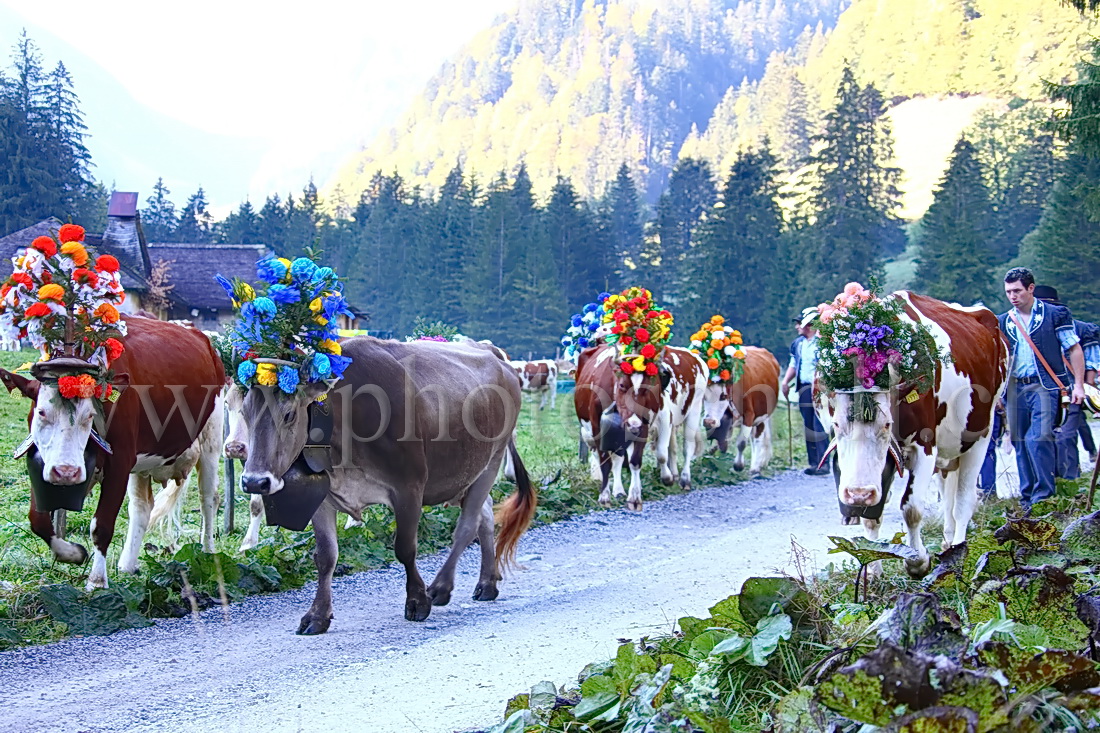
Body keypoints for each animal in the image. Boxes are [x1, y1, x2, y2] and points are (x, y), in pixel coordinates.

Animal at [0, 314, 223, 589]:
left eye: (89, 415)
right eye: (42, 412)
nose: (66, 472)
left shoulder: (120, 461)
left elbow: (102, 524)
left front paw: (97, 581)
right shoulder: (44, 463)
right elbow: (38, 519)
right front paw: (72, 553)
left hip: (211, 437)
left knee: (208, 498)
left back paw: (208, 555)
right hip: (144, 461)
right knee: (141, 507)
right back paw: (127, 564)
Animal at [236, 334, 536, 629]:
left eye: (289, 414)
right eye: (244, 413)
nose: (254, 482)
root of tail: (492, 353)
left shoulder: (409, 486)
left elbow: (405, 548)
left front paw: (417, 601)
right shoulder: (322, 497)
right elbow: (325, 556)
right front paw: (317, 615)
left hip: (491, 461)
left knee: (468, 525)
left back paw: (440, 587)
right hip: (469, 474)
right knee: (485, 515)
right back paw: (487, 582)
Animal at [611, 343, 704, 508]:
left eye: (648, 387)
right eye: (622, 385)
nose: (634, 423)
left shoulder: (665, 420)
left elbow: (661, 454)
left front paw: (666, 478)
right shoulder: (631, 427)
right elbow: (634, 460)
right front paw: (634, 494)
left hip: (694, 410)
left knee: (687, 447)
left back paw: (684, 478)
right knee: (673, 448)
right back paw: (675, 473)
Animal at [699, 347, 778, 477]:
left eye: (723, 396)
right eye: (703, 396)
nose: (708, 421)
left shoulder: (749, 416)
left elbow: (741, 443)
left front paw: (738, 466)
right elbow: (723, 443)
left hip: (762, 416)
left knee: (758, 438)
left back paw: (755, 467)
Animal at [822, 292, 1007, 576]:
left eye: (887, 425)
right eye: (836, 425)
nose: (858, 494)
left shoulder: (925, 446)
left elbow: (911, 509)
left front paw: (917, 561)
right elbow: (872, 516)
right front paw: (872, 569)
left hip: (980, 435)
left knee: (964, 501)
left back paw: (960, 549)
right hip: (949, 448)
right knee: (948, 496)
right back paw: (948, 545)